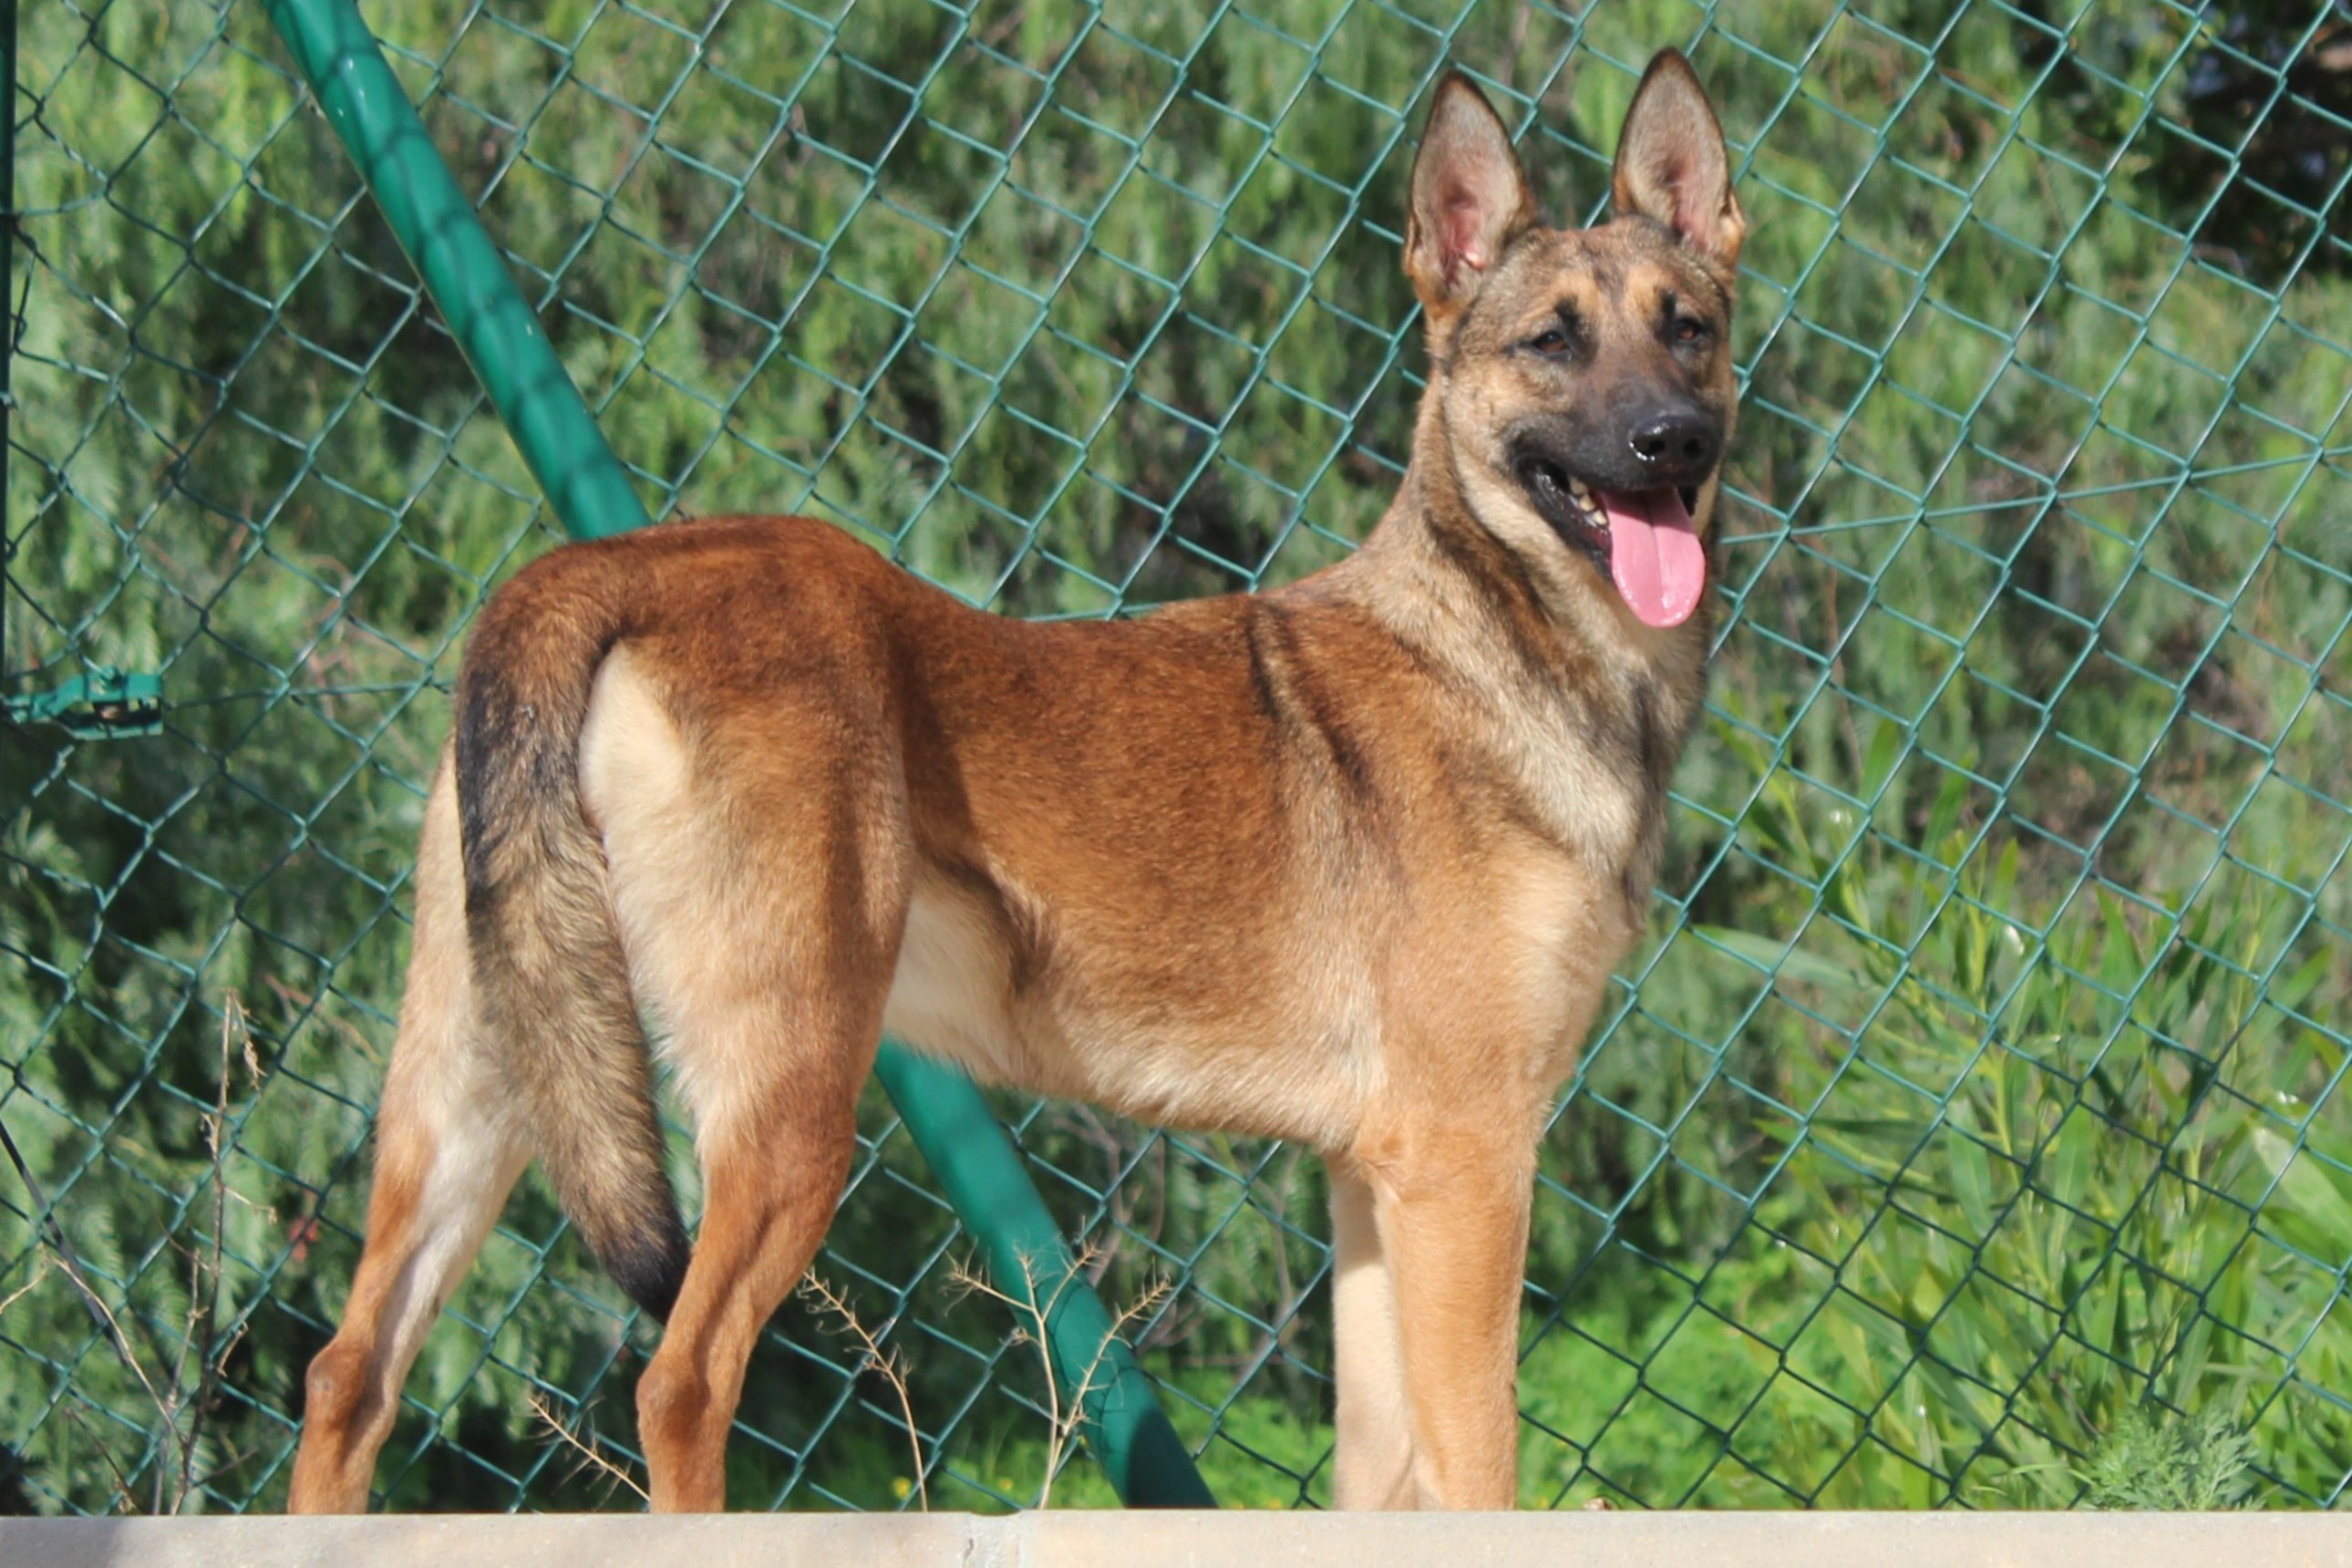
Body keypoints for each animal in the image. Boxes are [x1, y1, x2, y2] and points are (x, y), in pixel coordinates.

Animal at [284, 55, 1740, 1513]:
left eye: (1690, 330)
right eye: (1551, 344)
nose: (1670, 442)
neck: (1505, 642)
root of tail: (608, 570)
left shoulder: (1375, 1188)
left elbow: (1381, 1477)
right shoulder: (1467, 1168)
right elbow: (1481, 1465)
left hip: (486, 1075)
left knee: (350, 1373)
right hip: (786, 1110)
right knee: (679, 1383)